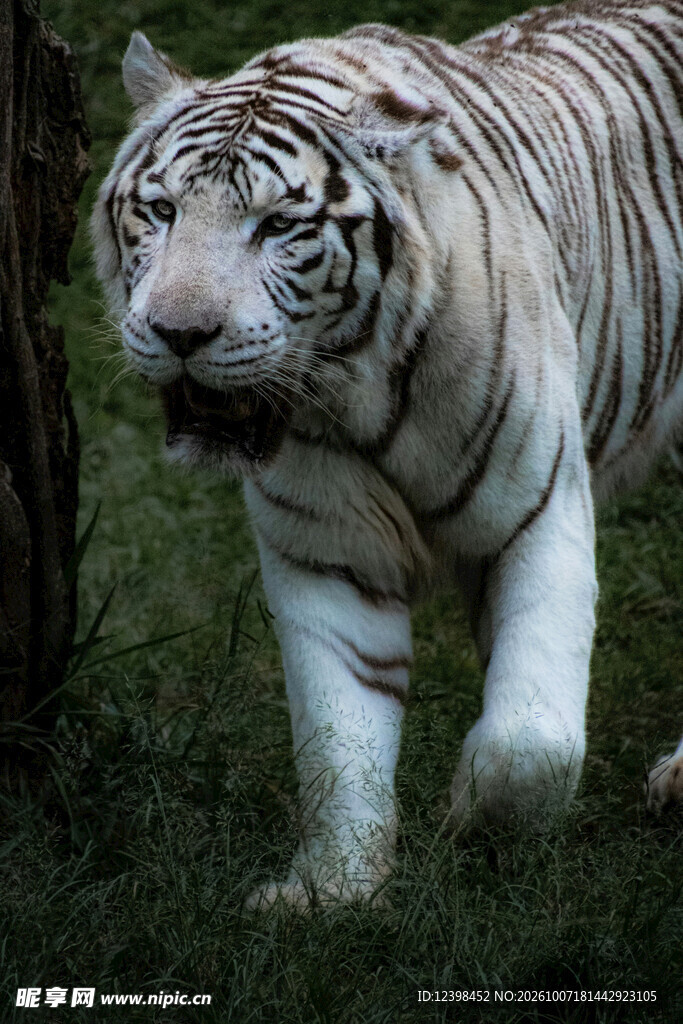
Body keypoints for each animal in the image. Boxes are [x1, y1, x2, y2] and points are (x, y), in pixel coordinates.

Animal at [92, 0, 683, 909]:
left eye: (278, 226)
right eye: (160, 213)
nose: (179, 332)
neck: (360, 393)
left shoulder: (538, 510)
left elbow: (530, 743)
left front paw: (469, 815)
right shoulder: (328, 551)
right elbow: (339, 736)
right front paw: (331, 891)